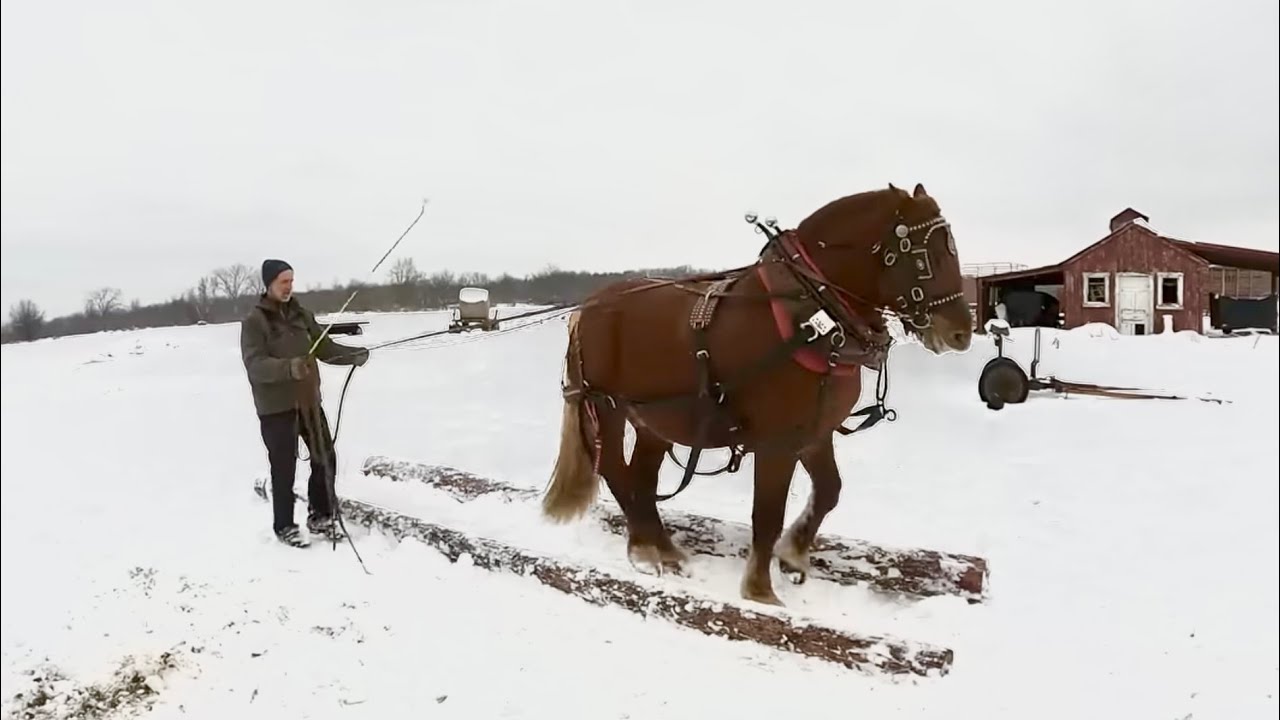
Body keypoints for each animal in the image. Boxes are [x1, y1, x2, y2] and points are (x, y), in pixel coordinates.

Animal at [540, 183, 972, 606]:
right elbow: (767, 513)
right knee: (615, 470)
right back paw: (645, 551)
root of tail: (587, 307)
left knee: (642, 480)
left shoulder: (814, 432)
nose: (960, 333)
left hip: (654, 420)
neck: (811, 318)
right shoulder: (776, 442)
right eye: (924, 256)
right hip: (606, 405)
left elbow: (828, 491)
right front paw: (760, 590)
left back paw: (661, 548)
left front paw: (793, 555)